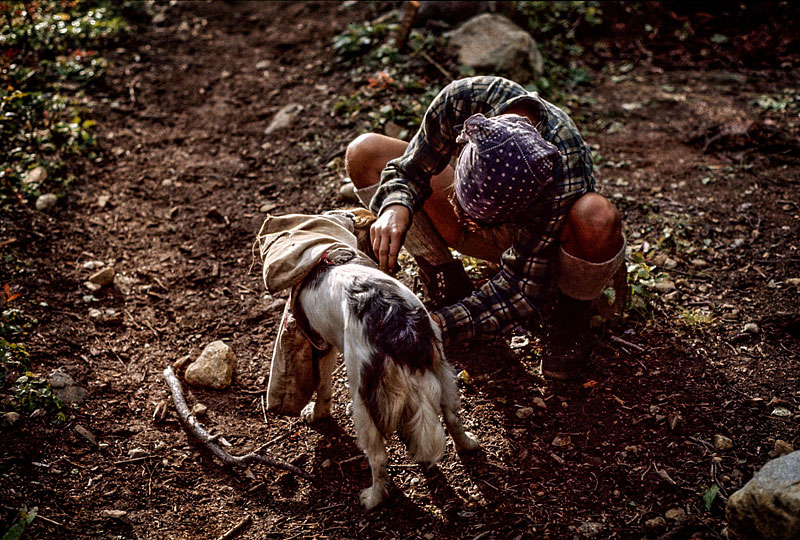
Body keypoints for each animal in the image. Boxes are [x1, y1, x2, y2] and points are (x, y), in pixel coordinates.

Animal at [296, 243, 478, 508]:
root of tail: (399, 325)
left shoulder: (320, 344)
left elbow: (322, 385)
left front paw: (315, 413)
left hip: (362, 400)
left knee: (378, 459)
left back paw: (373, 498)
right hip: (443, 370)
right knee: (452, 418)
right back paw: (467, 445)